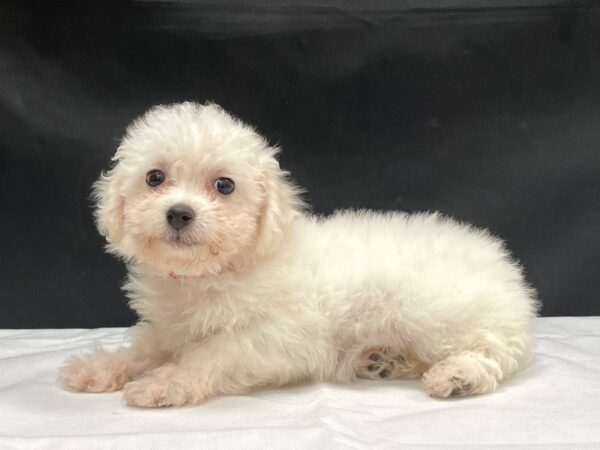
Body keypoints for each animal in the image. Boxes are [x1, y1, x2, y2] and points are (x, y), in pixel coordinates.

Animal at [59, 103, 540, 408]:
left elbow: (212, 353)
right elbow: (147, 347)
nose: (178, 213)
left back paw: (458, 376)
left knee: (498, 347)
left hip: (433, 309)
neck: (216, 271)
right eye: (154, 178)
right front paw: (101, 367)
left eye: (224, 185)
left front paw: (165, 383)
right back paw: (384, 360)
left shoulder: (279, 336)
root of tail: (505, 268)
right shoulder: (171, 328)